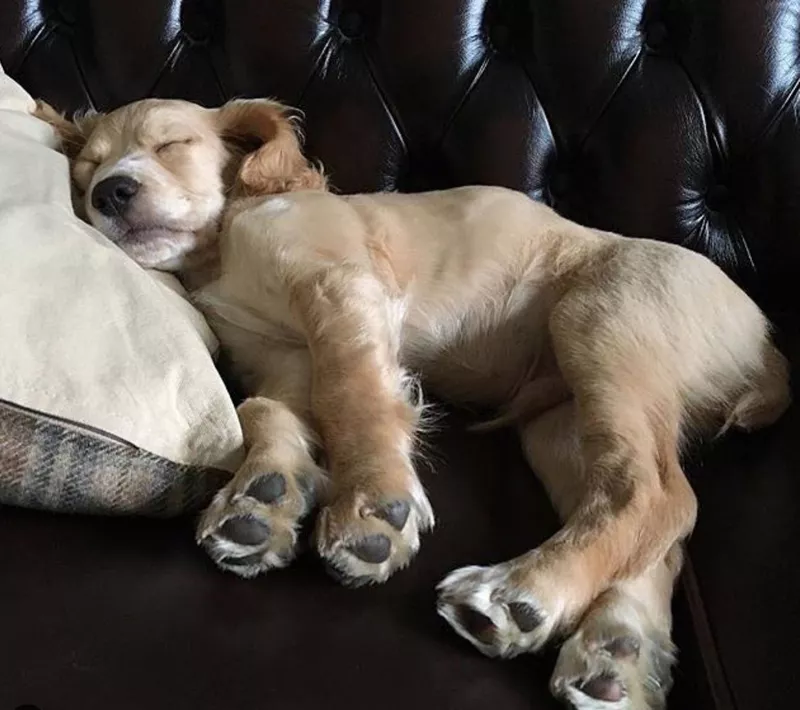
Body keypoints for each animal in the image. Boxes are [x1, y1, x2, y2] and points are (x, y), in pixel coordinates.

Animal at [37, 98, 788, 710]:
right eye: (87, 168)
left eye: (172, 144)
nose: (110, 192)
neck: (220, 250)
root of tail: (768, 346)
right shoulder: (280, 363)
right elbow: (266, 414)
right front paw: (262, 496)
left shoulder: (336, 286)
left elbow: (352, 395)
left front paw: (373, 505)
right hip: (562, 425)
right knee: (653, 522)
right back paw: (613, 650)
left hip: (601, 318)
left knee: (656, 494)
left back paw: (517, 593)